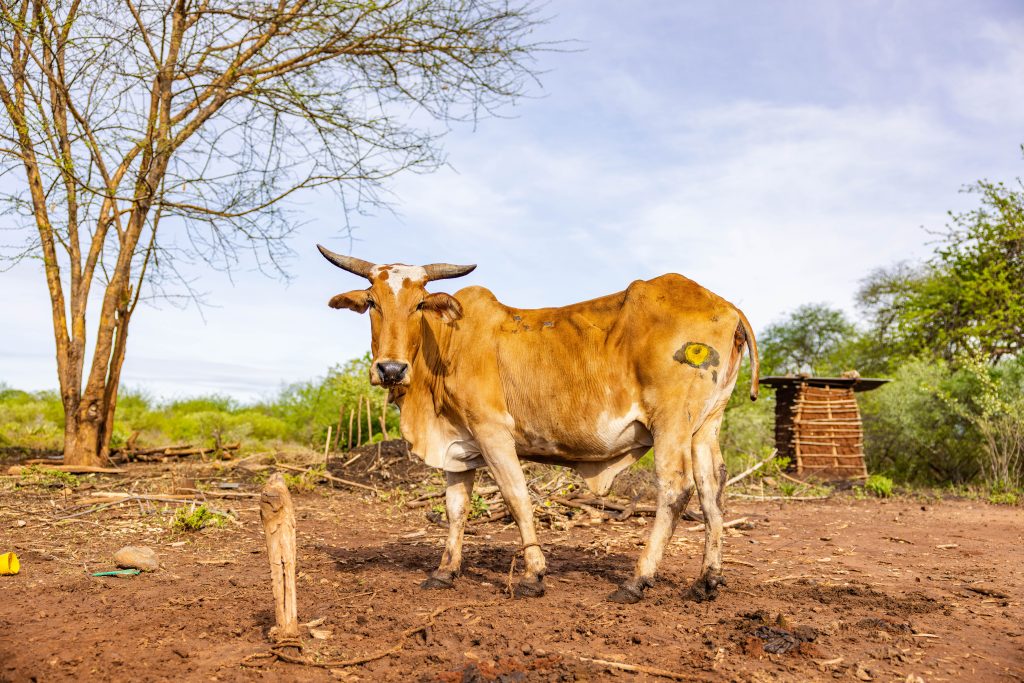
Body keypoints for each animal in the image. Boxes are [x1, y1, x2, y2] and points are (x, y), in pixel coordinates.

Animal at [318, 245, 759, 603]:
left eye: (419, 304)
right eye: (372, 302)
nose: (390, 369)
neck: (446, 345)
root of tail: (728, 307)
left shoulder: (493, 432)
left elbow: (517, 499)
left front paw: (534, 574)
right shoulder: (458, 447)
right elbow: (456, 509)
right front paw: (444, 571)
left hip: (671, 421)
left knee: (675, 488)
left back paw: (637, 580)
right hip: (705, 426)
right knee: (712, 490)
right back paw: (706, 580)